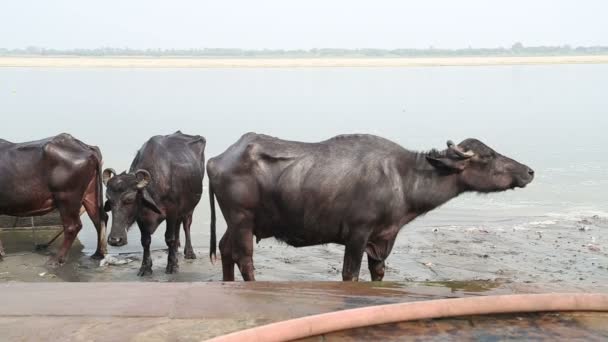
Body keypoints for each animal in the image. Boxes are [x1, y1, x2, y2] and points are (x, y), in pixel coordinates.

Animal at [0, 134, 107, 264]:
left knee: (73, 226)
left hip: (67, 197)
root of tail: (87, 147)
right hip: (90, 193)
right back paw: (98, 254)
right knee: (99, 219)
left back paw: (56, 260)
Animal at [100, 131, 204, 276]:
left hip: (189, 208)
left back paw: (189, 252)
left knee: (186, 225)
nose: (115, 240)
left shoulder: (172, 211)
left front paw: (172, 265)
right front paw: (145, 267)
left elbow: (169, 238)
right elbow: (145, 241)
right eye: (109, 199)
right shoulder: (141, 217)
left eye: (129, 199)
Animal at [208, 133, 532, 280]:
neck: (404, 178)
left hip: (236, 223)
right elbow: (350, 274)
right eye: (487, 156)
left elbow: (379, 272)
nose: (529, 171)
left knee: (225, 250)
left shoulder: (383, 238)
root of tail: (216, 160)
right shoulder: (357, 235)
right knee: (244, 258)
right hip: (242, 220)